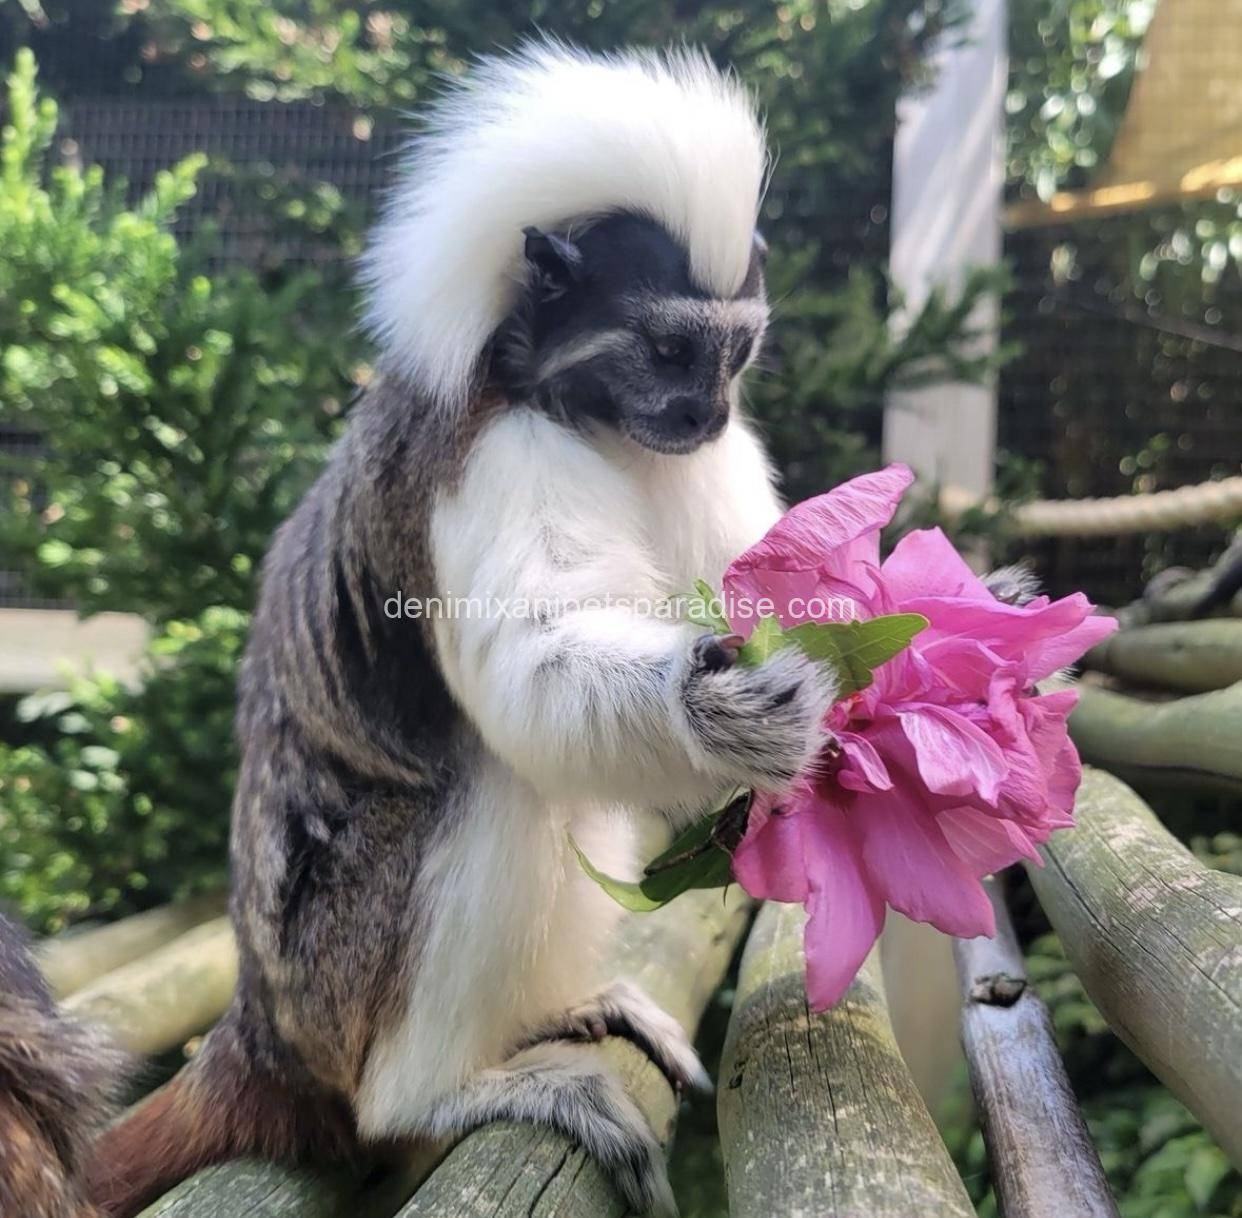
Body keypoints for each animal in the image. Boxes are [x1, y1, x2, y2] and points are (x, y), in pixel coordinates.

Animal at [84, 44, 836, 1216]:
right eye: (670, 349)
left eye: (734, 356)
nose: (706, 413)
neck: (578, 411)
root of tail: (260, 1033)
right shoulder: (485, 456)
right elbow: (532, 666)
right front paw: (715, 710)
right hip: (334, 978)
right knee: (487, 773)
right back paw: (433, 1095)